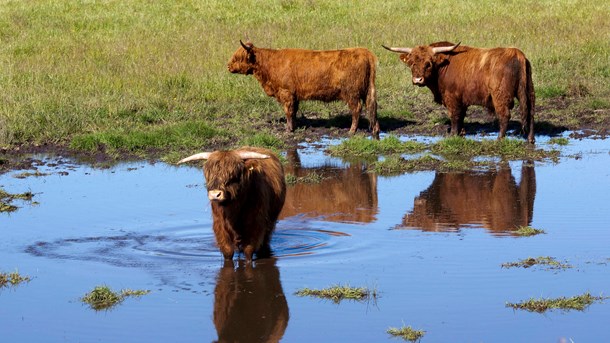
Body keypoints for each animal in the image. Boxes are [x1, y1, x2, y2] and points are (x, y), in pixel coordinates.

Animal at [228, 40, 380, 137]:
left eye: (237, 57)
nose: (228, 66)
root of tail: (365, 52)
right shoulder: (294, 96)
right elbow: (294, 111)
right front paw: (294, 126)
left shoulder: (286, 93)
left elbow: (288, 112)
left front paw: (288, 129)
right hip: (366, 91)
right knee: (371, 106)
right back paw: (375, 129)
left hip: (351, 93)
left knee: (357, 109)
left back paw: (352, 130)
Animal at [384, 41, 532, 143]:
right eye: (412, 63)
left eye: (428, 63)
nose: (418, 79)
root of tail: (516, 53)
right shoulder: (462, 100)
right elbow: (461, 116)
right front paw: (461, 133)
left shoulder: (452, 98)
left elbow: (454, 116)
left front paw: (453, 134)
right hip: (527, 92)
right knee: (529, 113)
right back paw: (531, 139)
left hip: (500, 96)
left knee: (504, 115)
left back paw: (500, 139)